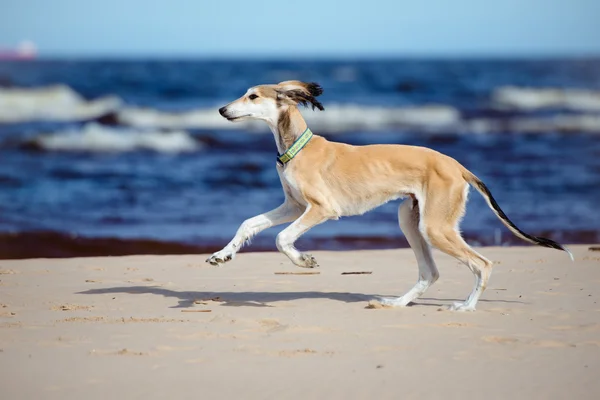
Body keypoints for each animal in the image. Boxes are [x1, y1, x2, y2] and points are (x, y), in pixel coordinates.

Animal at [206, 79, 572, 310]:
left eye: (253, 96)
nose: (222, 110)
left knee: (483, 263)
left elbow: (282, 238)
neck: (297, 147)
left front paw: (304, 260)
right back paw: (397, 303)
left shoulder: (321, 209)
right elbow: (249, 223)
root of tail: (457, 165)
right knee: (431, 272)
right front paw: (222, 255)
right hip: (411, 220)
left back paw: (466, 307)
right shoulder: (294, 206)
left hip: (435, 227)